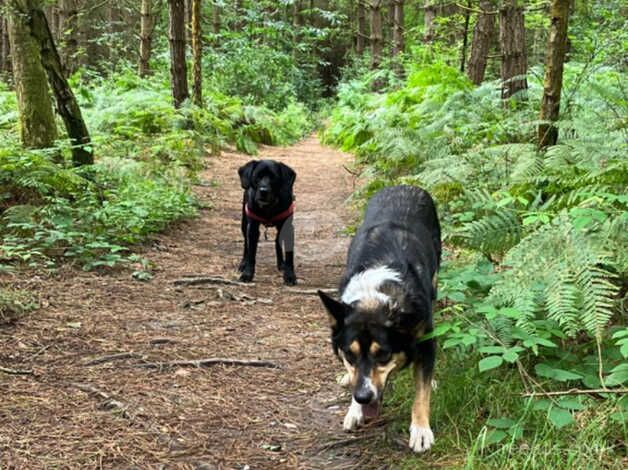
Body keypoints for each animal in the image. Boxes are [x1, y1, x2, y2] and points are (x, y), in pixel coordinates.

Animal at [318, 185, 442, 454]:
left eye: (383, 354)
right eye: (349, 354)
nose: (363, 397)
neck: (375, 295)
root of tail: (405, 185)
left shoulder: (426, 338)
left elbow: (421, 391)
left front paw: (421, 430)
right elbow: (356, 376)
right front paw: (354, 410)